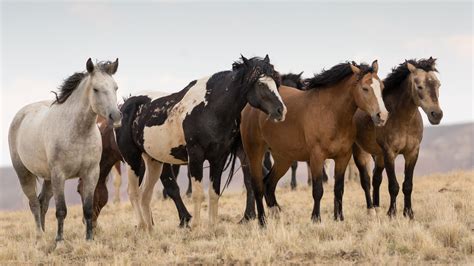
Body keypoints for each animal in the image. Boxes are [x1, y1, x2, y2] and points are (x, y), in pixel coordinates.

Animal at [8, 58, 121, 241]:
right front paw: (60, 240)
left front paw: (89, 239)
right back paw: (40, 236)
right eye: (96, 89)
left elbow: (88, 209)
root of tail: (21, 114)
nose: (116, 117)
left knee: (42, 202)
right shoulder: (59, 175)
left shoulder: (91, 173)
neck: (78, 132)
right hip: (25, 174)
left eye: (115, 87)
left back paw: (45, 233)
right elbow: (61, 210)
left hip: (48, 178)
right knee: (34, 203)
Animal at [115, 54, 286, 231]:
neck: (209, 109)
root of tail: (126, 104)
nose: (281, 110)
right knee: (133, 192)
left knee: (145, 194)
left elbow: (214, 193)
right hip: (132, 159)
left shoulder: (219, 158)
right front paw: (196, 226)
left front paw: (213, 226)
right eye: (260, 83)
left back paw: (150, 229)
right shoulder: (195, 156)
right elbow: (198, 194)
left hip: (154, 161)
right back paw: (142, 226)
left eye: (276, 82)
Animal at [241, 60, 388, 224]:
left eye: (381, 87)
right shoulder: (317, 157)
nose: (382, 116)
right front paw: (316, 218)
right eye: (365, 88)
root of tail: (249, 107)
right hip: (254, 153)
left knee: (269, 184)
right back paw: (262, 221)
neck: (331, 113)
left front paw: (339, 218)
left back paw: (276, 214)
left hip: (283, 158)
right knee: (258, 186)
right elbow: (318, 189)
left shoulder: (343, 157)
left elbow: (339, 188)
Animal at [354, 57, 442, 218]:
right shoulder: (389, 153)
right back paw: (371, 210)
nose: (437, 115)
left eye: (438, 84)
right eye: (419, 86)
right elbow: (393, 185)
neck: (403, 119)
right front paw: (392, 213)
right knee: (366, 180)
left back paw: (377, 207)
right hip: (360, 152)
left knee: (376, 178)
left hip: (378, 155)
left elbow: (407, 185)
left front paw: (408, 213)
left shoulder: (412, 153)